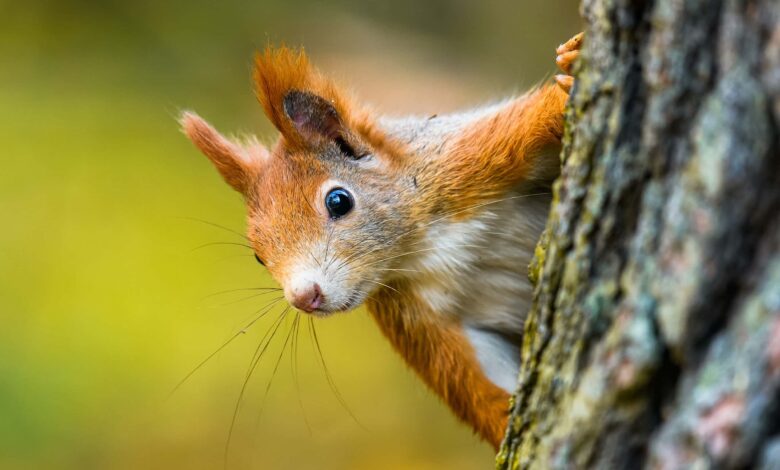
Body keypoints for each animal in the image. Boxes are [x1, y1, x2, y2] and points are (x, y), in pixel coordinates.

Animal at [183, 31, 580, 450]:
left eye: (338, 200)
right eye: (259, 256)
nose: (304, 297)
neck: (421, 245)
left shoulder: (472, 158)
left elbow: (537, 117)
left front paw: (570, 69)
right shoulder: (416, 316)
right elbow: (469, 381)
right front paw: (507, 428)